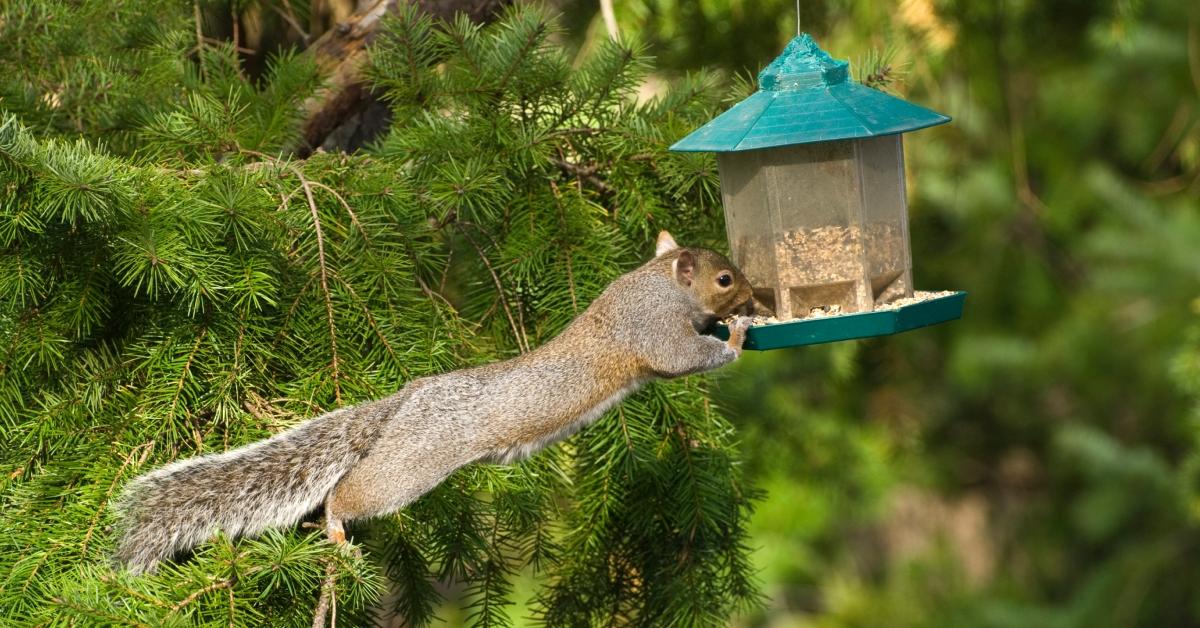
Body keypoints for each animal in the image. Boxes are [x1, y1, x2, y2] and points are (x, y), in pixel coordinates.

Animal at [110, 230, 748, 573]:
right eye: (724, 279)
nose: (756, 294)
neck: (656, 281)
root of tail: (404, 403)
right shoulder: (653, 332)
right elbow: (684, 358)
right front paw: (737, 337)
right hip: (412, 464)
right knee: (347, 494)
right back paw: (336, 530)